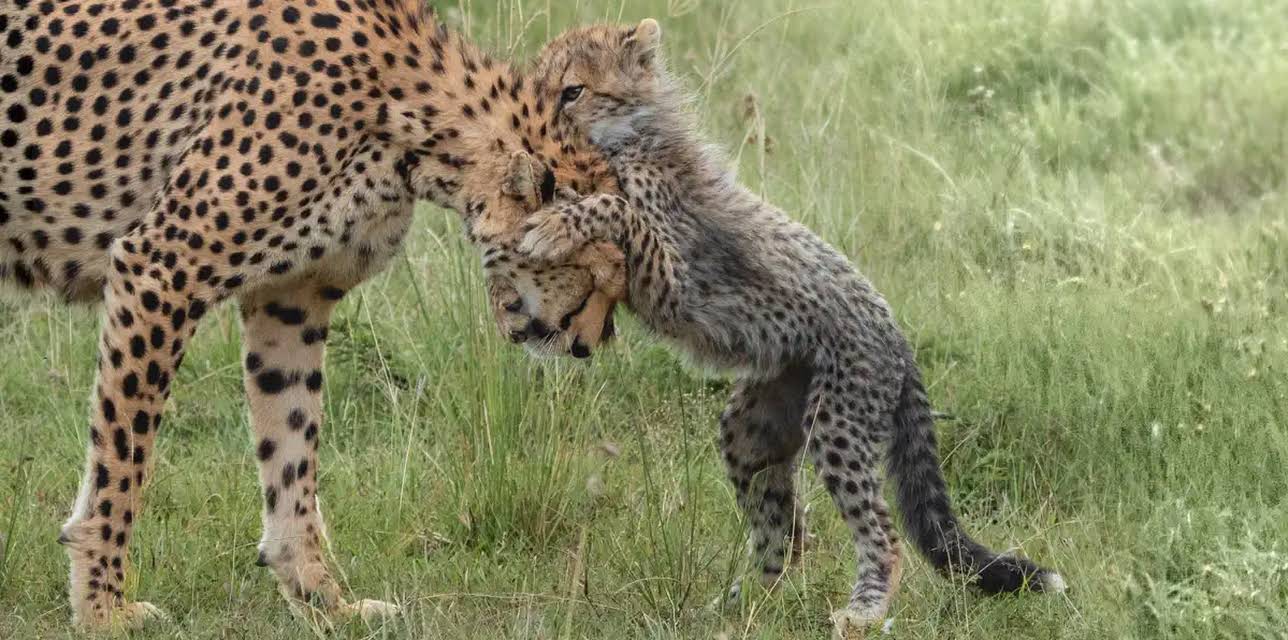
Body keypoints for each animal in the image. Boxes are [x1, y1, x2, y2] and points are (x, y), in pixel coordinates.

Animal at [0, 0, 625, 630]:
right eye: (600, 272)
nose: (590, 343)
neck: (411, 116)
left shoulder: (291, 298)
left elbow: (291, 448)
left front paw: (325, 601)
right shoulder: (160, 268)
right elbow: (123, 458)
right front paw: (102, 609)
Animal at [491, 19, 1066, 638]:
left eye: (571, 91)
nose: (529, 123)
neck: (632, 136)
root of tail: (897, 332)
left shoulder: (674, 279)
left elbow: (614, 209)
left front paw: (554, 223)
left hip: (837, 422)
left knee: (882, 534)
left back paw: (863, 610)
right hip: (754, 427)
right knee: (785, 536)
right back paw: (742, 606)